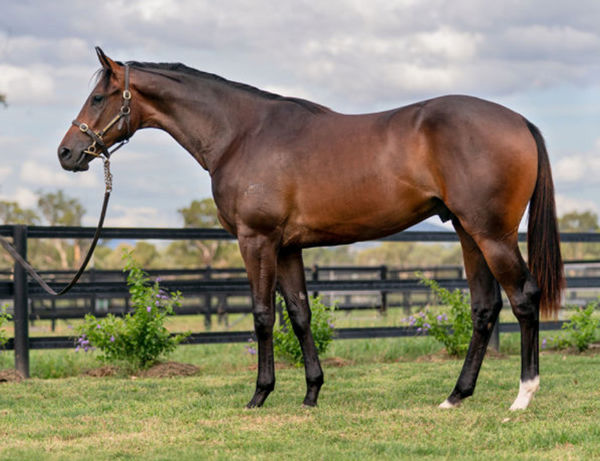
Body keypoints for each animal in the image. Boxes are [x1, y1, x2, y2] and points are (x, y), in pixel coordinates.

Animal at [57, 47, 564, 410]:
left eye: (98, 97)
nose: (66, 153)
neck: (242, 134)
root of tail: (518, 120)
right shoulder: (287, 248)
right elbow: (300, 315)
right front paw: (311, 393)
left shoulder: (256, 240)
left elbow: (263, 315)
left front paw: (259, 394)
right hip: (466, 230)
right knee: (484, 307)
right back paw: (456, 395)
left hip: (491, 234)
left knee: (523, 298)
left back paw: (523, 396)